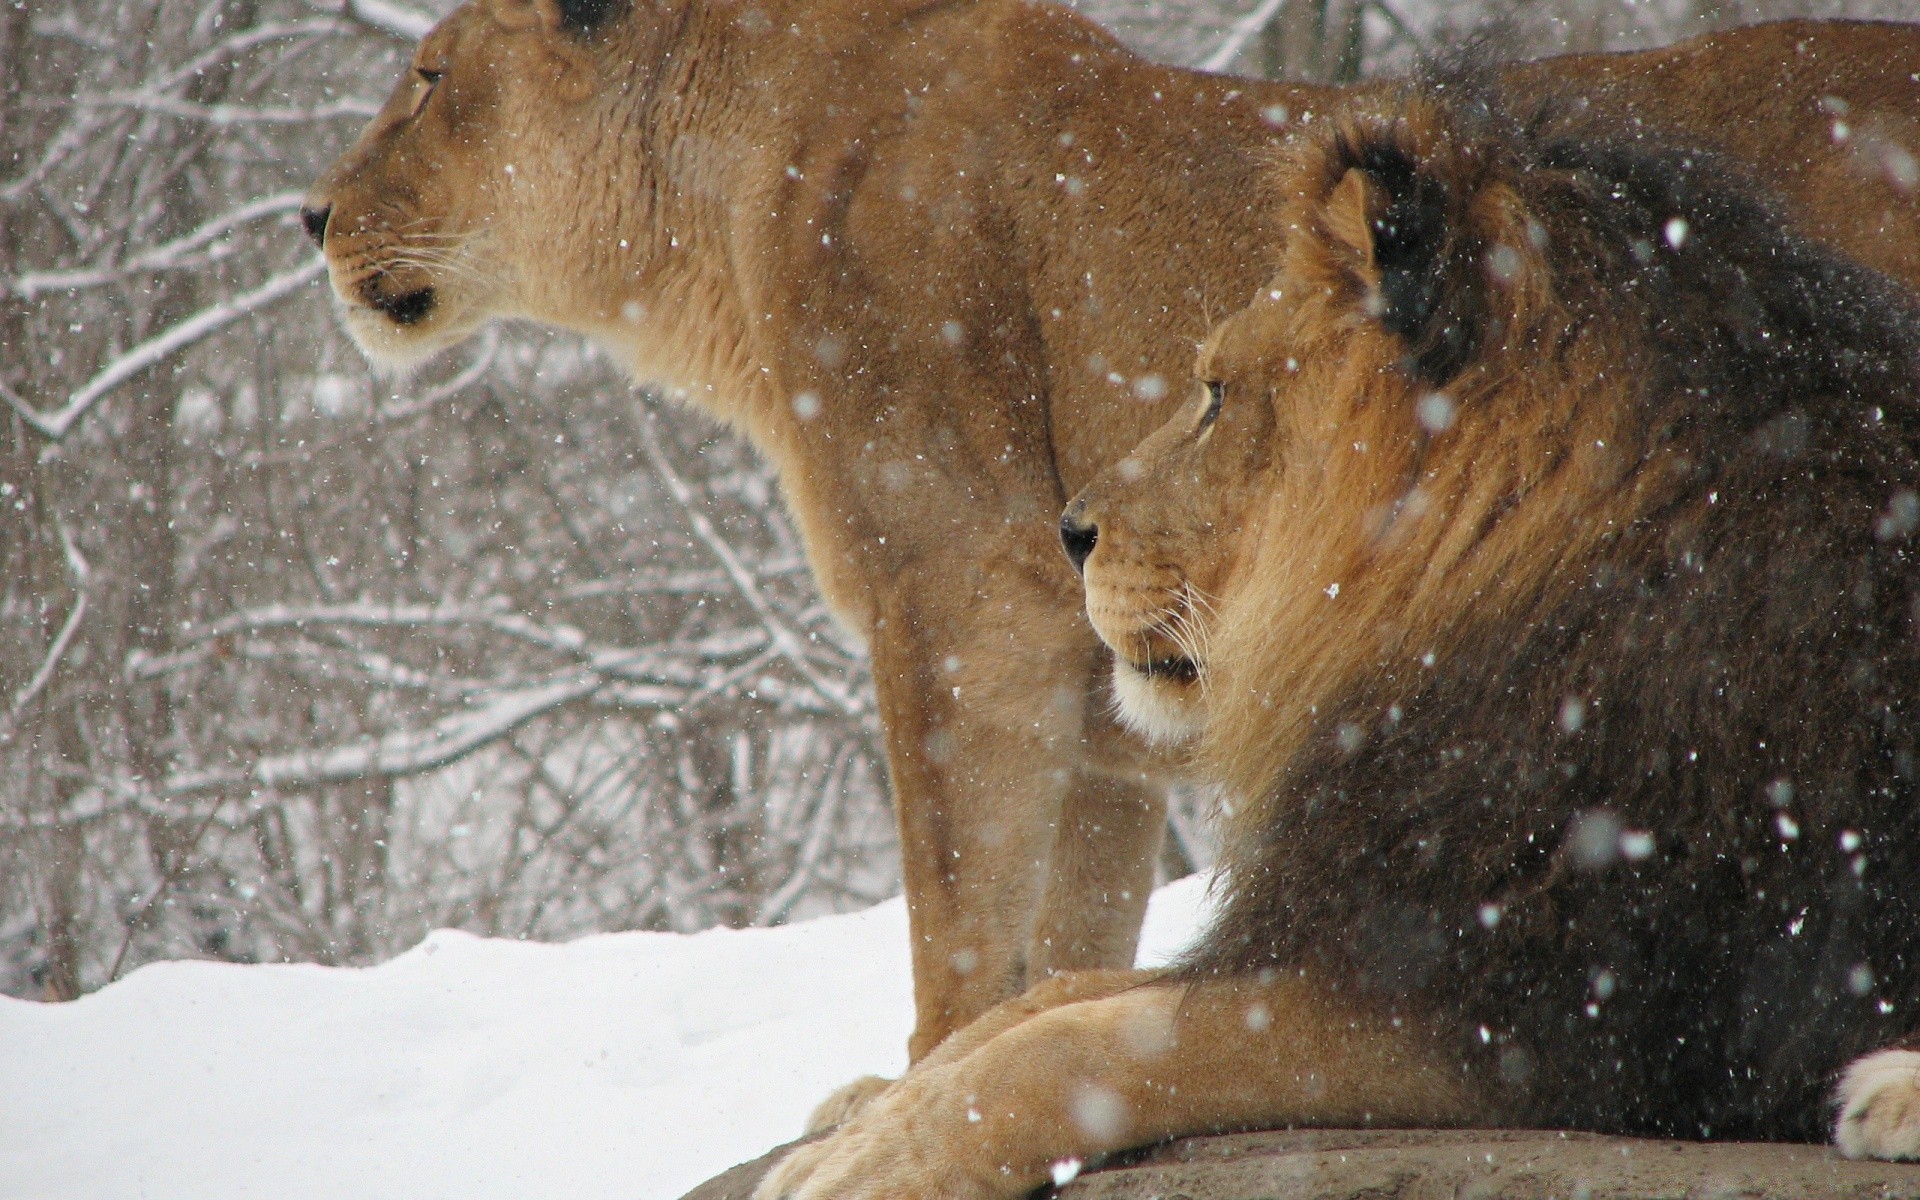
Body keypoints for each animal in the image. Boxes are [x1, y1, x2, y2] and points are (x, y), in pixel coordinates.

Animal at [307, 0, 1920, 1067]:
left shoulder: (965, 603)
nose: (312, 215)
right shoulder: (1107, 710)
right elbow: (1070, 940)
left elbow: (958, 933)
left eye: (429, 78)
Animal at [760, 82, 1920, 1190]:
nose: (1070, 530)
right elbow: (1045, 1004)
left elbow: (1076, 1049)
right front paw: (855, 1122)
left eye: (1217, 392)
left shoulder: (1524, 1002)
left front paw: (868, 1168)